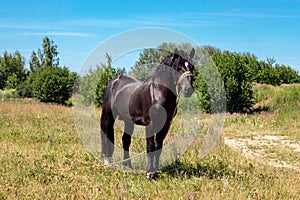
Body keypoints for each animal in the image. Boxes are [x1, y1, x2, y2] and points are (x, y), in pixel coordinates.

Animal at [99, 48, 196, 178]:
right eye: (177, 67)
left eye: (192, 67)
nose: (188, 90)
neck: (158, 91)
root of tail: (114, 81)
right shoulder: (150, 123)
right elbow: (150, 146)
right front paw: (149, 172)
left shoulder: (165, 124)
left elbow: (158, 147)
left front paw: (156, 170)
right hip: (108, 116)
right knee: (107, 136)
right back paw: (107, 162)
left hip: (128, 121)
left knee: (126, 141)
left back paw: (127, 166)